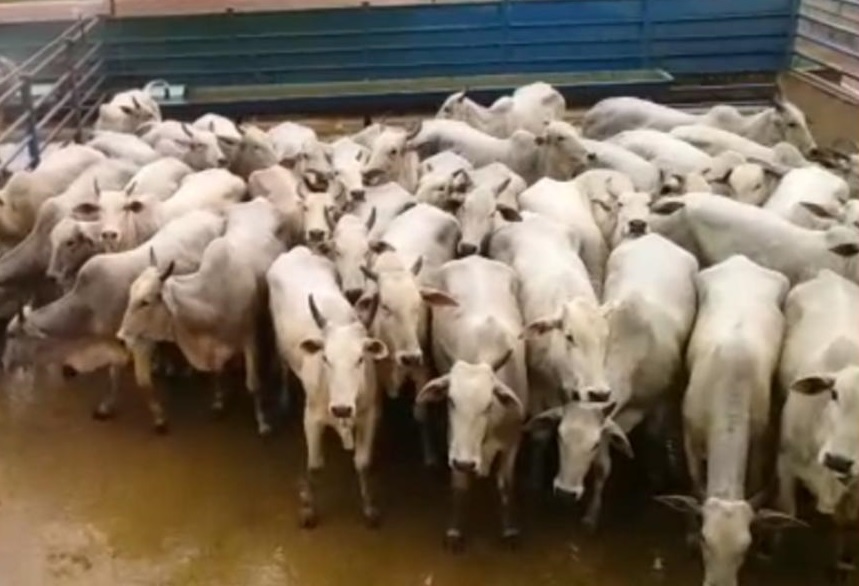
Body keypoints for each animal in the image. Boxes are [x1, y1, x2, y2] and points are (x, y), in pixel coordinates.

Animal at [116, 198, 282, 432]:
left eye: (145, 302)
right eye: (130, 293)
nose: (121, 338)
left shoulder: (251, 340)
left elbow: (253, 385)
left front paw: (263, 422)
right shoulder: (213, 347)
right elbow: (217, 373)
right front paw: (219, 401)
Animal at [268, 244, 388, 528]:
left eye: (360, 359)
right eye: (325, 358)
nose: (342, 409)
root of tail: (297, 250)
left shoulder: (370, 415)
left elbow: (363, 463)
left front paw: (369, 508)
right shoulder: (312, 418)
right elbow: (315, 465)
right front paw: (309, 508)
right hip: (279, 344)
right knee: (282, 366)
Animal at [414, 256, 528, 548]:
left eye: (488, 405)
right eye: (451, 401)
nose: (466, 463)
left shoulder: (513, 440)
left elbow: (506, 485)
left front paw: (510, 530)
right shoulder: (455, 443)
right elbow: (460, 487)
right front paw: (455, 532)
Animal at [660, 256, 800, 586]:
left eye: (744, 547)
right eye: (705, 539)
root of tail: (742, 261)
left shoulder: (759, 440)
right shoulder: (689, 434)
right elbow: (694, 481)